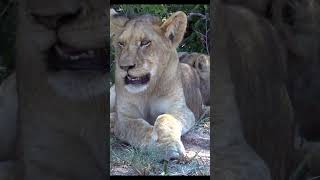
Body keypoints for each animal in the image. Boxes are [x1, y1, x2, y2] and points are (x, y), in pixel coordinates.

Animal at [110, 9, 202, 159]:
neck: (148, 90)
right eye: (121, 43)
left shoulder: (181, 110)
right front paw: (159, 146)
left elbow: (165, 118)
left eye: (145, 42)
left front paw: (168, 145)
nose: (124, 67)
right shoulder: (125, 117)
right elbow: (138, 127)